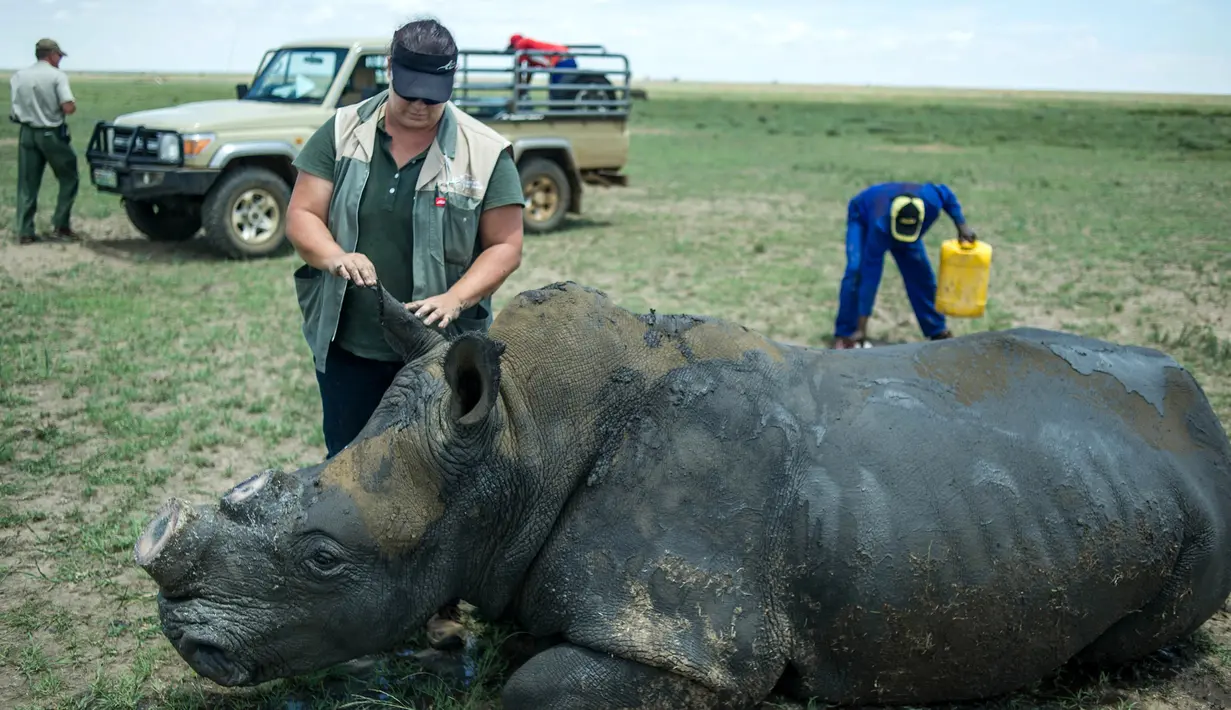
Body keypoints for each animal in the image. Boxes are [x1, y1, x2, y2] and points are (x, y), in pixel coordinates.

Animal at [134, 279, 1231, 703]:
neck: (516, 447)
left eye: (323, 558)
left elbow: (532, 687)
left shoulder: (699, 649)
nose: (188, 638)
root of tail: (1200, 410)